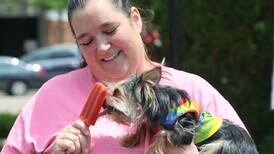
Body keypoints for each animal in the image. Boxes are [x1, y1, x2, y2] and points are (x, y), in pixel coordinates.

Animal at [103, 67, 260, 154]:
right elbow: (145, 125)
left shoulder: (184, 130)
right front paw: (131, 139)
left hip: (222, 146)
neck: (159, 104)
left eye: (116, 93)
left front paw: (153, 150)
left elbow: (163, 132)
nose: (103, 102)